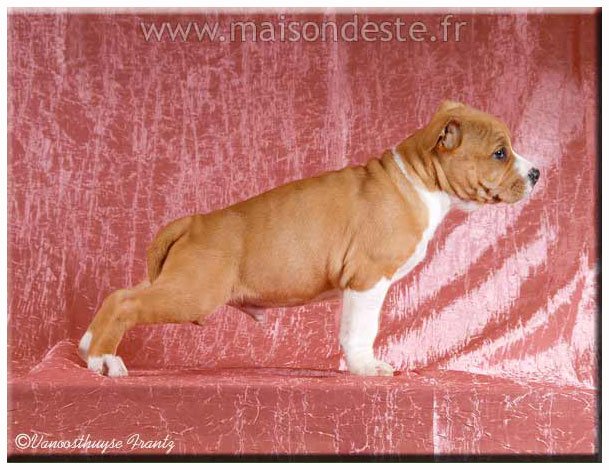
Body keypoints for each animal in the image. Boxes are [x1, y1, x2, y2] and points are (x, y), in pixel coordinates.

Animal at [79, 100, 539, 377]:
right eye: (500, 153)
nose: (537, 172)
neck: (417, 177)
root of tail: (193, 222)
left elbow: (354, 328)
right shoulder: (368, 280)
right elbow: (363, 329)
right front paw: (366, 367)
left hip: (177, 280)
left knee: (122, 293)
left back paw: (87, 345)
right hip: (194, 291)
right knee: (126, 302)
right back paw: (103, 358)